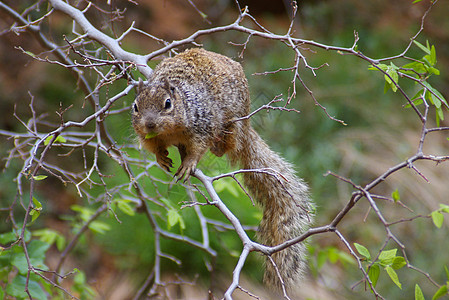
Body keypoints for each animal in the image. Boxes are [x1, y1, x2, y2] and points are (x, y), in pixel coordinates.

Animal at [131, 48, 314, 292]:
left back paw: (216, 147)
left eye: (168, 103)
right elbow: (153, 147)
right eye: (135, 106)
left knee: (225, 145)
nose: (149, 124)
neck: (170, 131)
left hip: (233, 124)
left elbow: (198, 147)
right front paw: (161, 158)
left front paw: (189, 163)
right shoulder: (148, 137)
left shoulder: (203, 125)